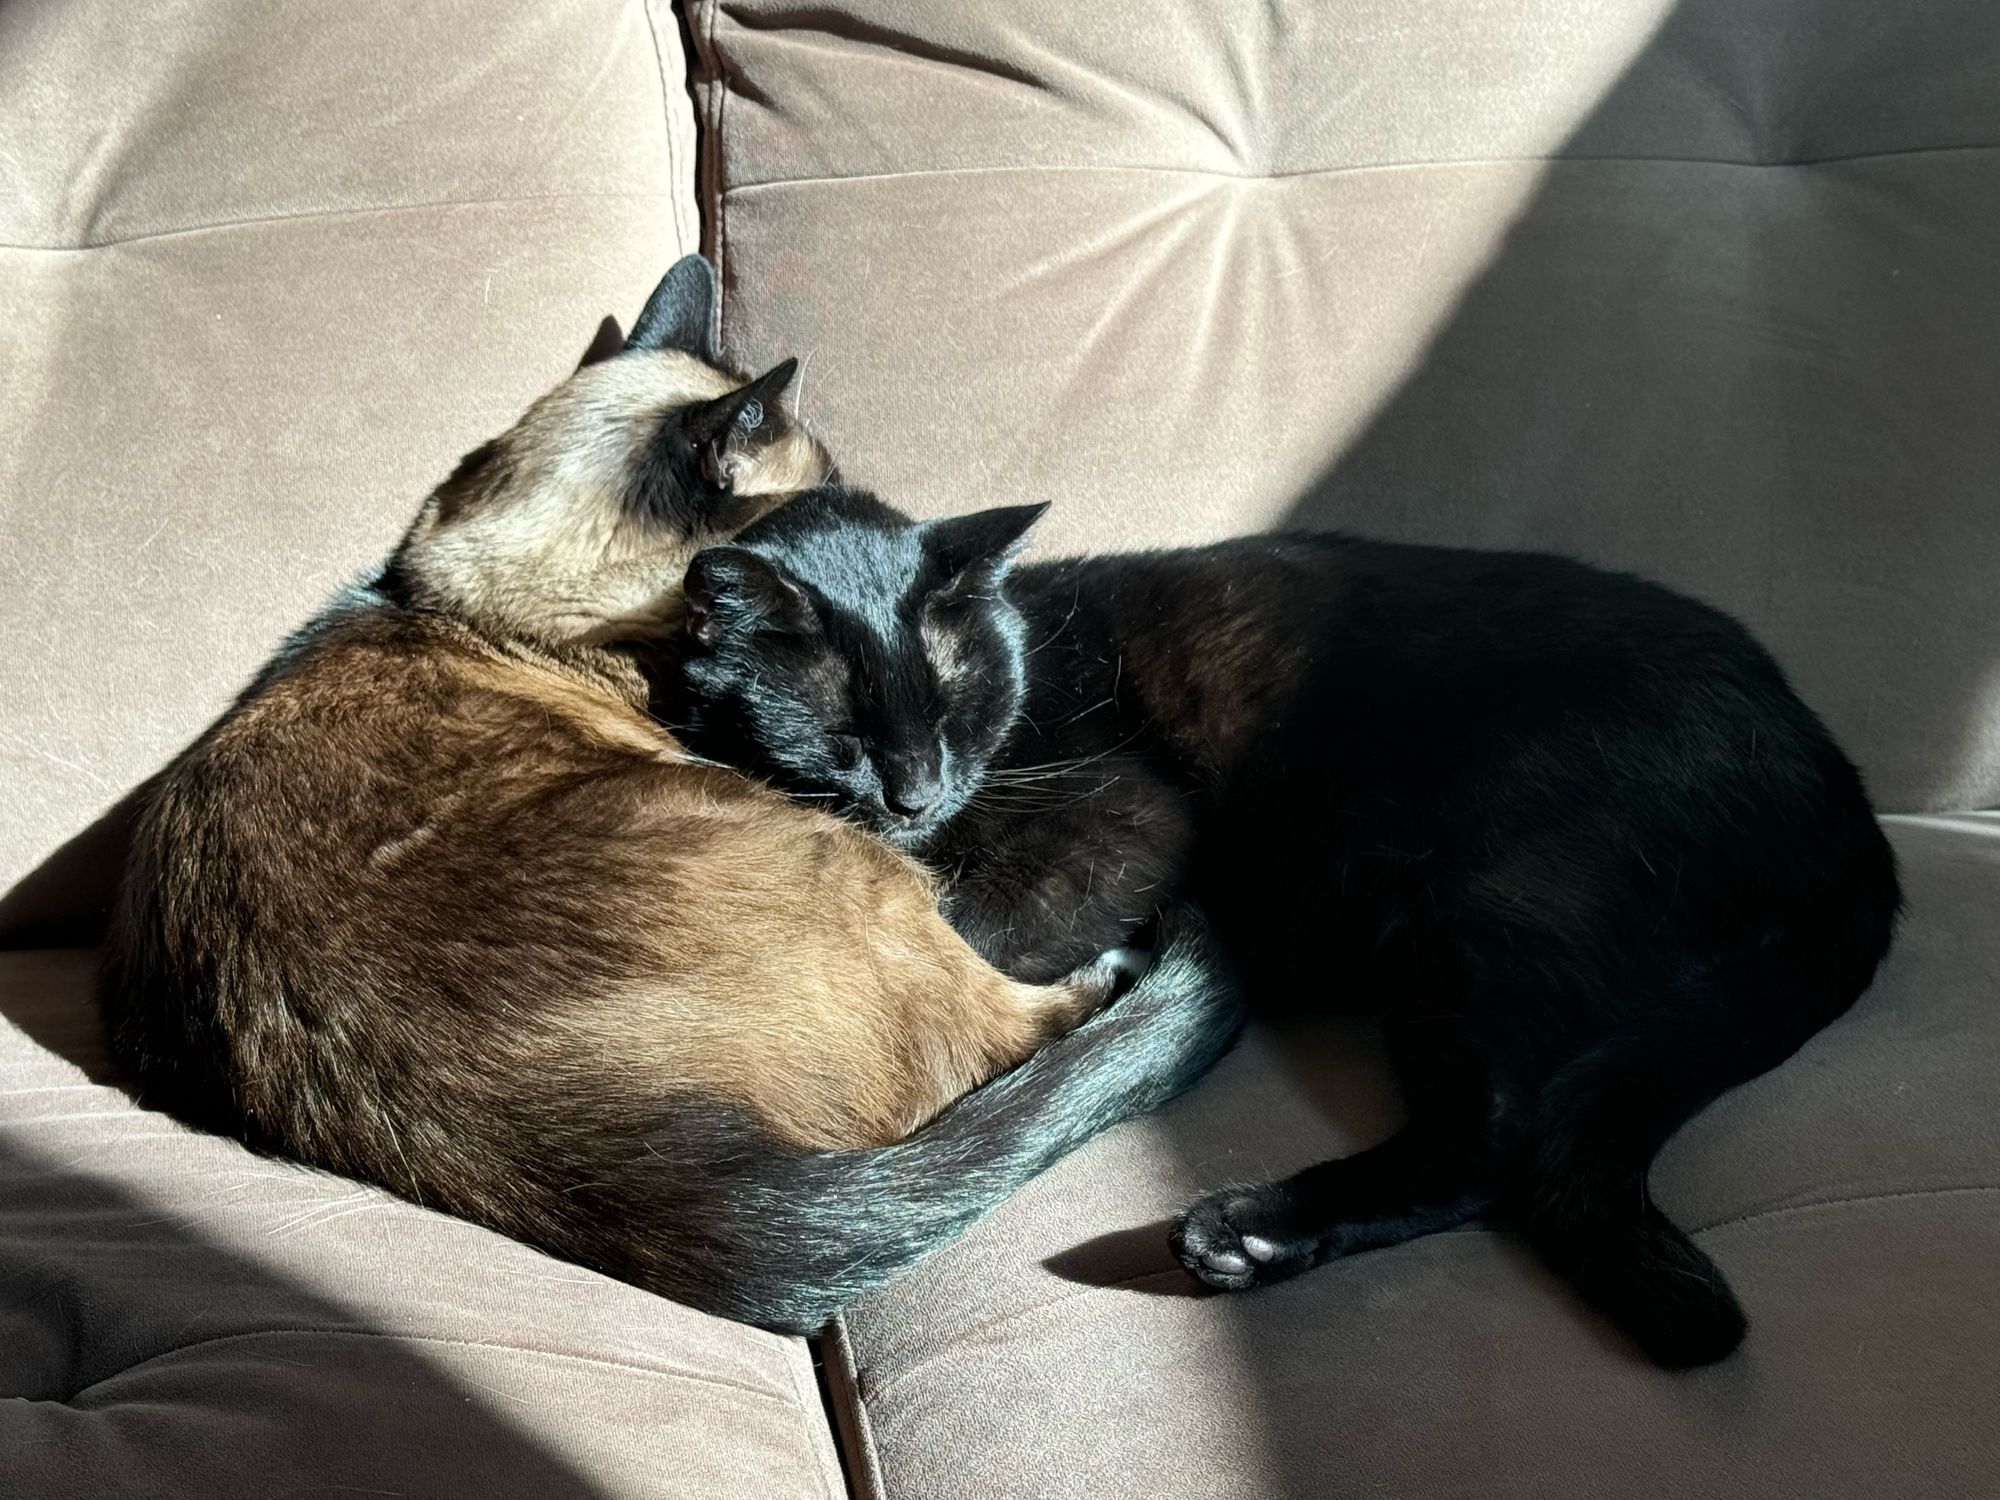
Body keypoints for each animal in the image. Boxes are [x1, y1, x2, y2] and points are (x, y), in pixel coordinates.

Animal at [660, 484, 1904, 1376]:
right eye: (843, 720)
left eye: (955, 700)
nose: (916, 791)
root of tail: (1844, 801)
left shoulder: (1125, 822)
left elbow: (969, 934)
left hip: (1496, 905)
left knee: (1494, 1147)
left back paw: (1243, 1232)